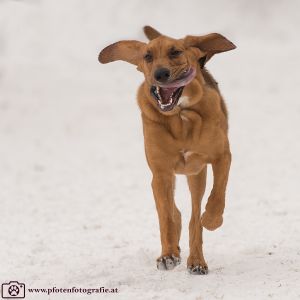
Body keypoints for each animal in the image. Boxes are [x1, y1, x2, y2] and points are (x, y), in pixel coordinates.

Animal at [98, 25, 234, 274]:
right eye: (147, 56)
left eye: (176, 52)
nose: (160, 74)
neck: (181, 115)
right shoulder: (161, 173)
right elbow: (167, 217)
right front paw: (168, 254)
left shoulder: (222, 157)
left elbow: (217, 194)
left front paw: (212, 220)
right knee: (175, 212)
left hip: (196, 175)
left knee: (194, 215)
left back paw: (197, 260)